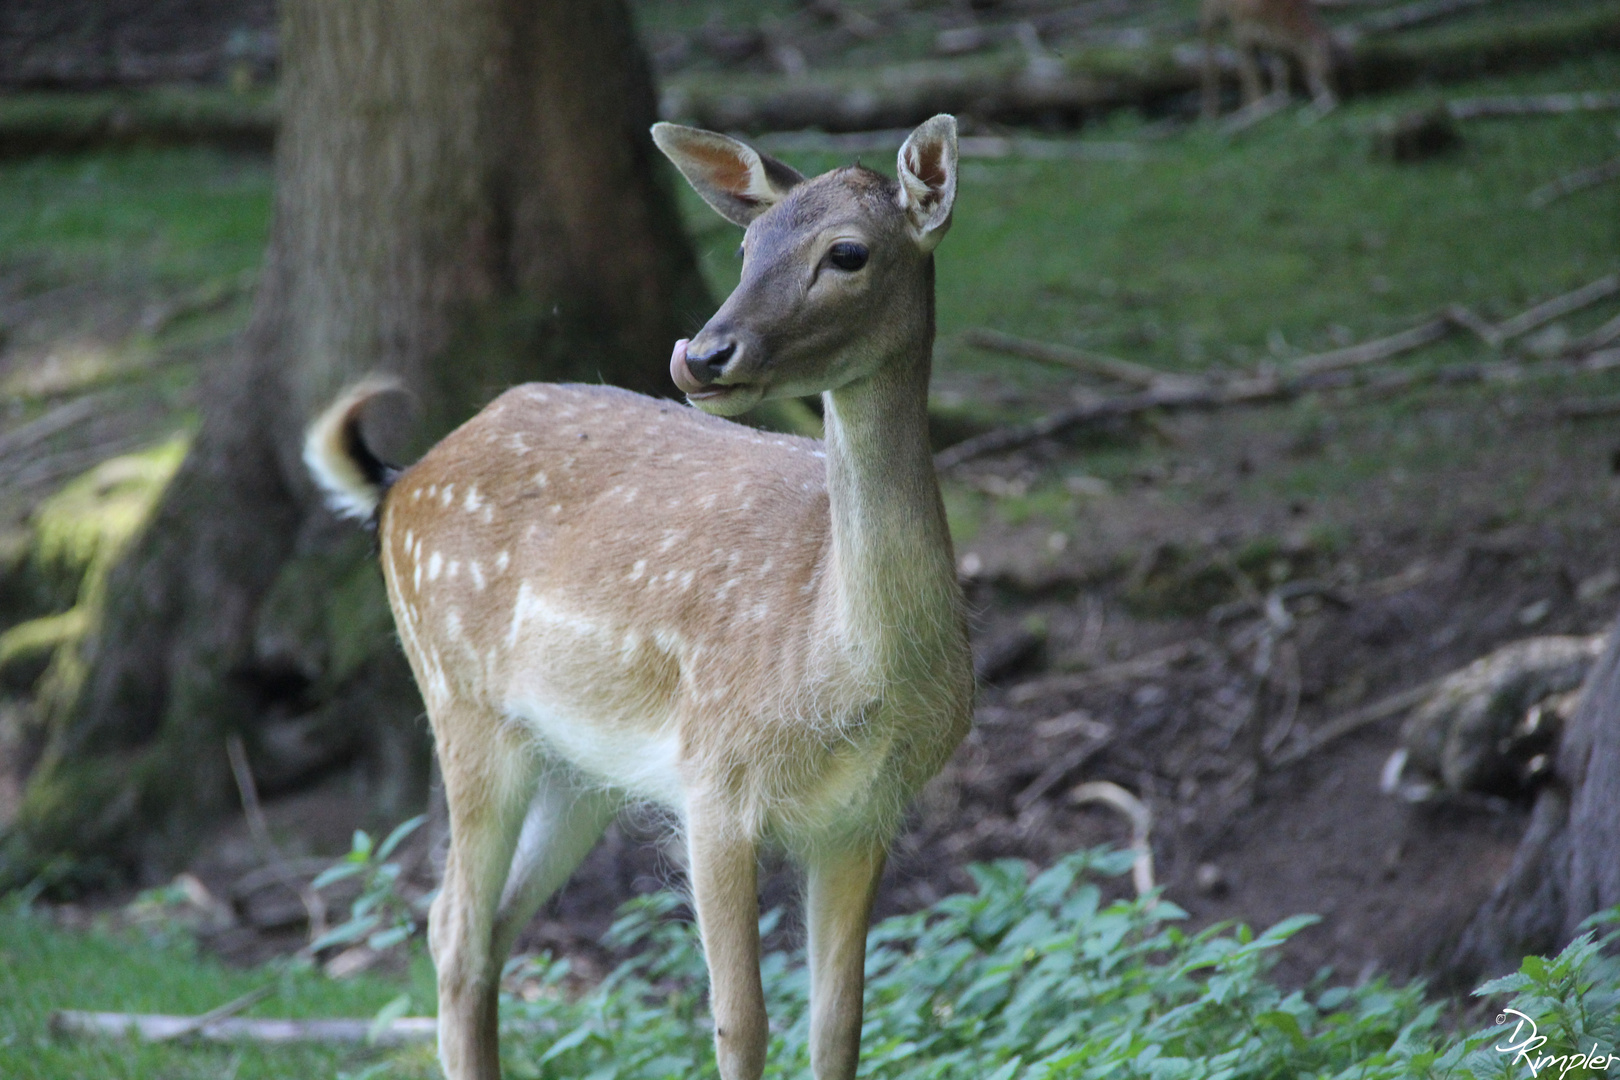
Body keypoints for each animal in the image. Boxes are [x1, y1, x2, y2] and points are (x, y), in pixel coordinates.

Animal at [306, 114, 972, 1075]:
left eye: (847, 253)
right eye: (746, 246)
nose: (702, 354)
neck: (843, 667)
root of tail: (399, 484)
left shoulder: (864, 817)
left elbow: (839, 1024)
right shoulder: (714, 780)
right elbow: (740, 1020)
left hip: (577, 766)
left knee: (493, 926)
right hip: (462, 702)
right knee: (451, 927)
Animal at [1205, 0, 1341, 119]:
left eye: (1334, 71)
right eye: (1327, 72)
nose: (1337, 89)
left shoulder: (1276, 44)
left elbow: (1278, 74)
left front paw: (1277, 104)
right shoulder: (1241, 32)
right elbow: (1251, 77)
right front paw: (1255, 112)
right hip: (1213, 17)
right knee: (1209, 44)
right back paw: (1211, 114)